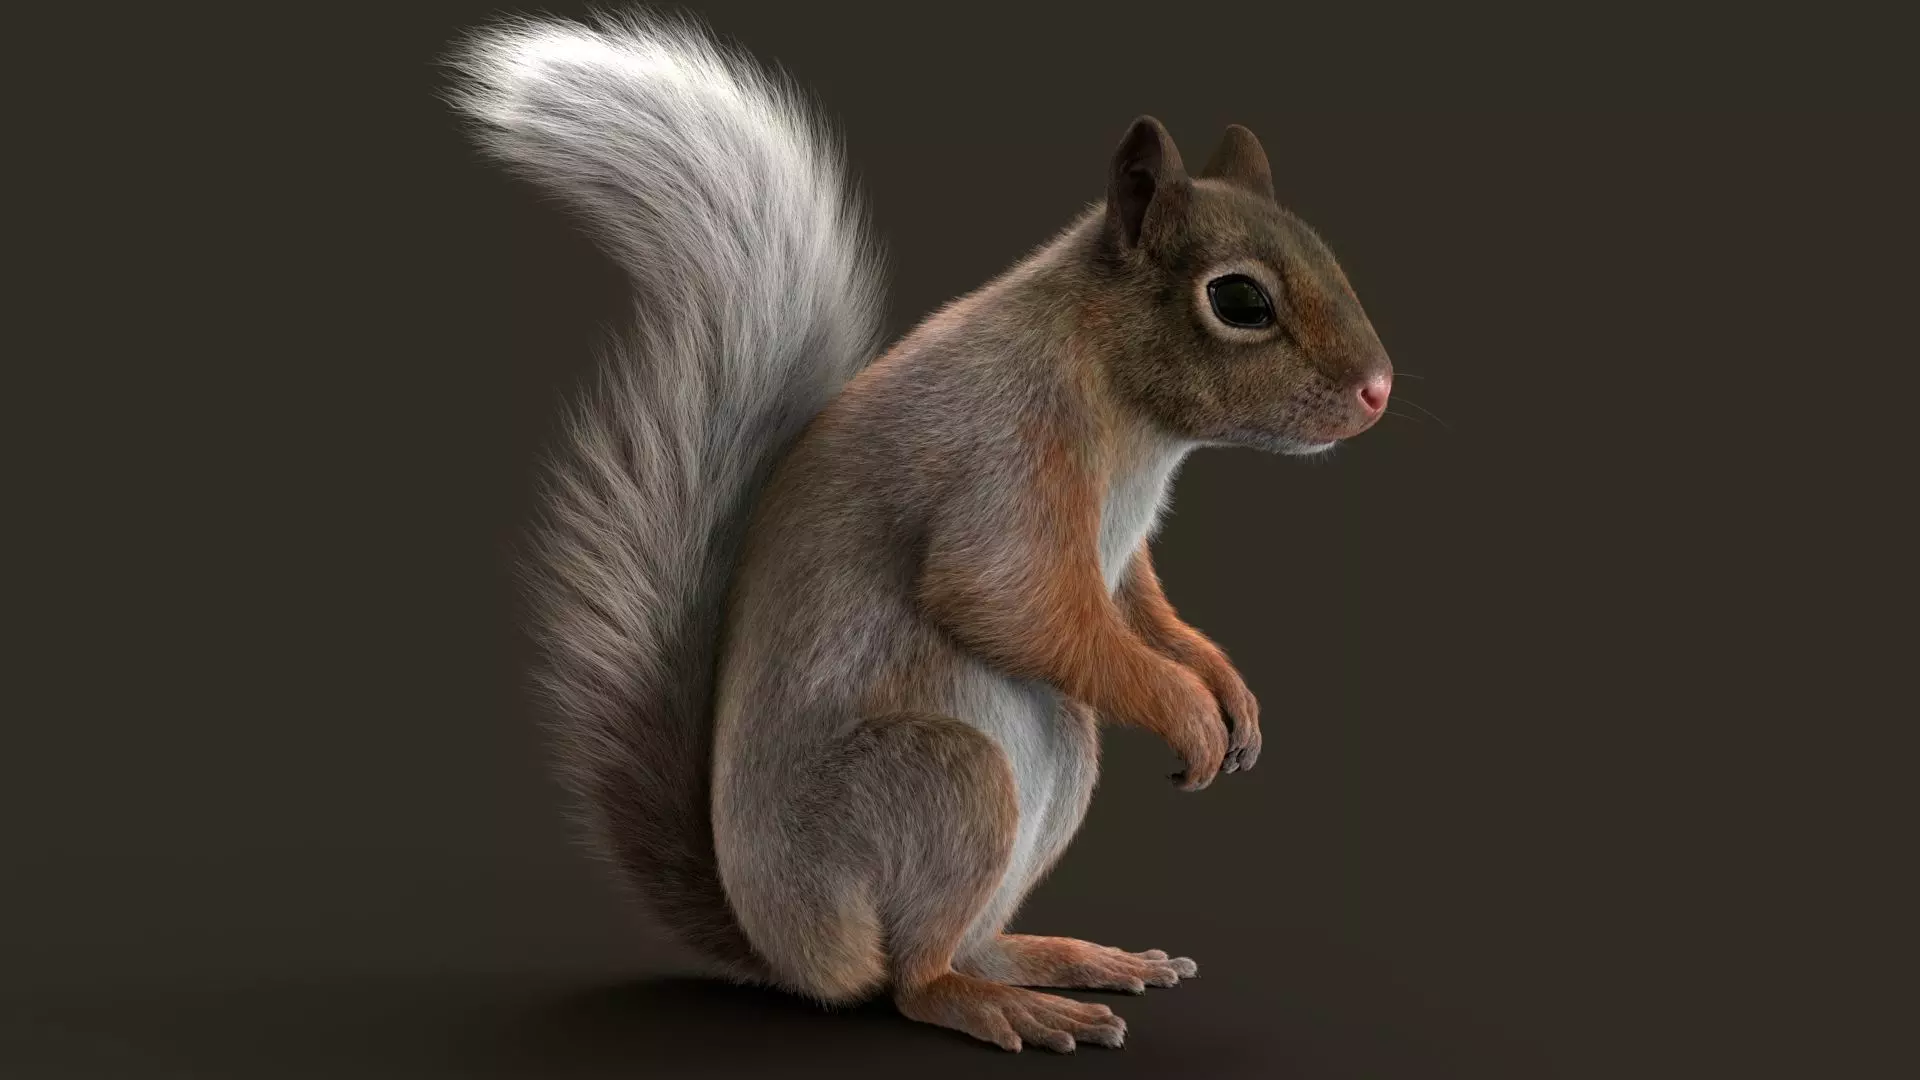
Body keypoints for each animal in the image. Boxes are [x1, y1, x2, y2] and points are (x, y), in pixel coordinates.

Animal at [451, 11, 1393, 1053]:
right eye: (1239, 301)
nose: (1379, 391)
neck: (1125, 405)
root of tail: (786, 950)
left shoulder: (1113, 564)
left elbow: (1137, 607)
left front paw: (1227, 690)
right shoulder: (1006, 454)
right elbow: (1003, 597)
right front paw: (1187, 708)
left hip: (1055, 765)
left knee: (961, 940)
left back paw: (1058, 958)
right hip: (942, 781)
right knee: (910, 981)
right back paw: (989, 1002)